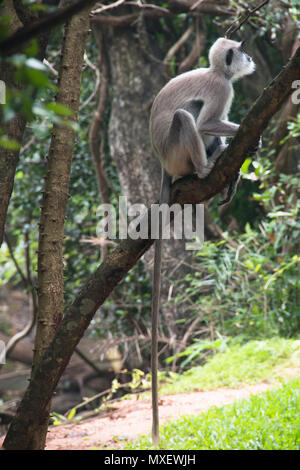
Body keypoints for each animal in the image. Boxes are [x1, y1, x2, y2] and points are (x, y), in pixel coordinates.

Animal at [149, 36, 256, 444]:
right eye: (241, 51)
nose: (250, 57)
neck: (216, 71)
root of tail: (163, 164)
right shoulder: (222, 88)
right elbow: (208, 121)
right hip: (176, 151)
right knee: (188, 118)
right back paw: (206, 168)